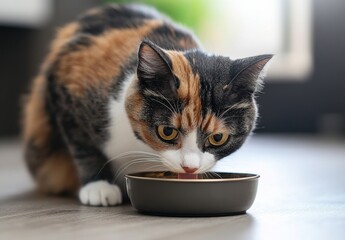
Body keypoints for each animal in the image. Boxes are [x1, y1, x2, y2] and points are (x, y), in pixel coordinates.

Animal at [23, 3, 272, 206]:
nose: (190, 167)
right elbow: (83, 146)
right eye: (167, 132)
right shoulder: (64, 84)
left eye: (218, 138)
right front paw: (98, 186)